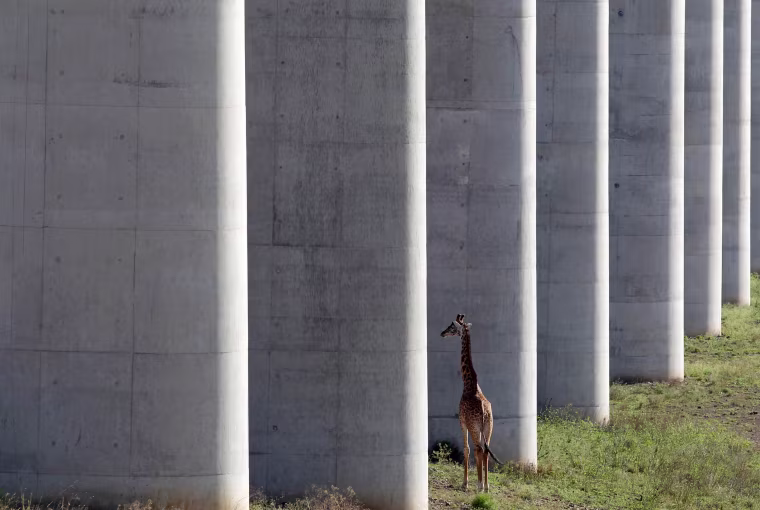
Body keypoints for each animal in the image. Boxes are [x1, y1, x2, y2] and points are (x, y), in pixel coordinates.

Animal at [441, 314, 502, 492]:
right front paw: (477, 483)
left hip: (475, 427)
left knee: (478, 448)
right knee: (485, 450)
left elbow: (466, 449)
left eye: (451, 326)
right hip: (489, 426)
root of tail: (484, 411)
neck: (470, 384)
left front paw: (465, 483)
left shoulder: (462, 421)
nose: (442, 333)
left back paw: (480, 485)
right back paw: (486, 486)